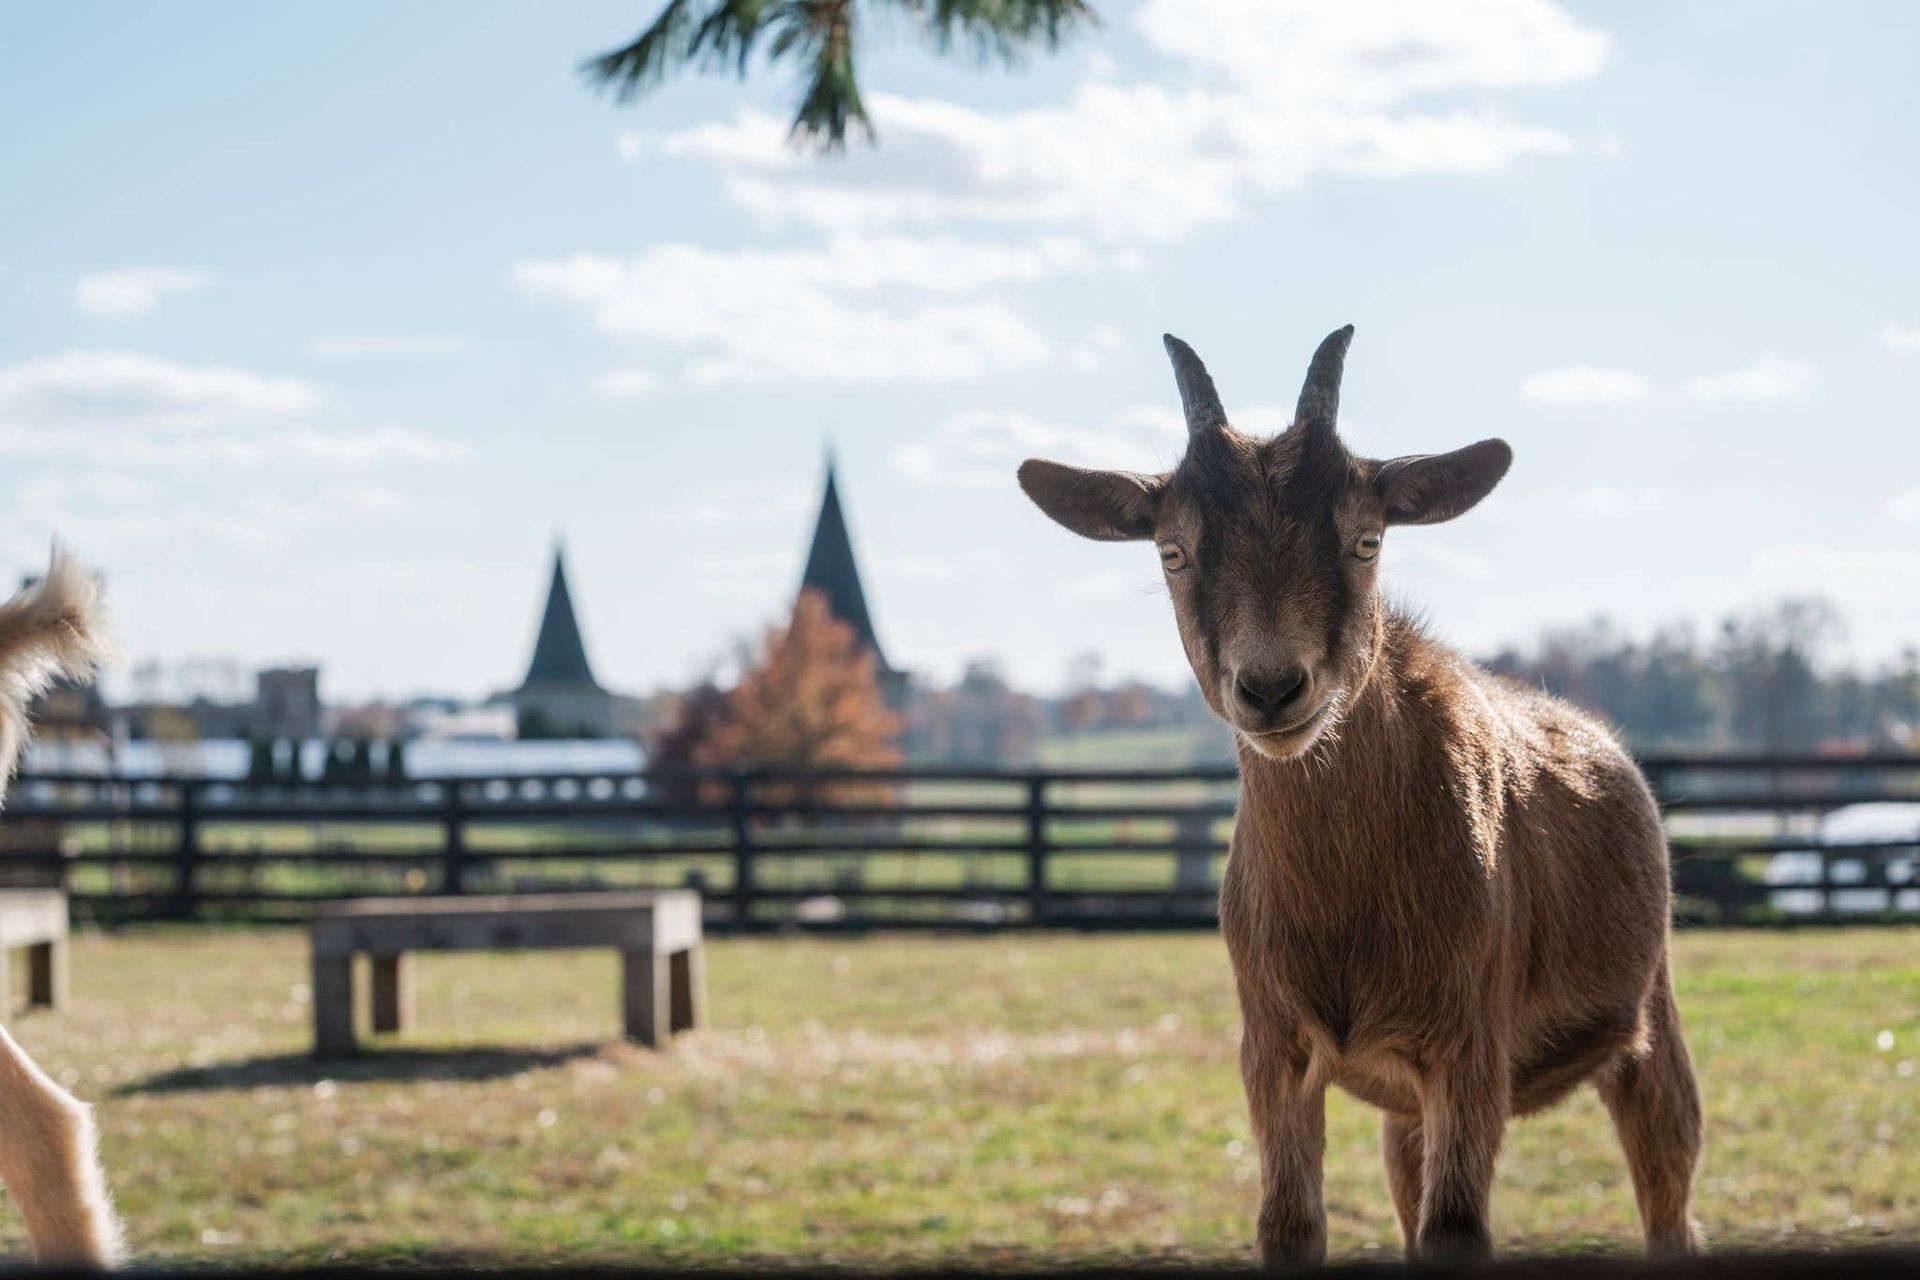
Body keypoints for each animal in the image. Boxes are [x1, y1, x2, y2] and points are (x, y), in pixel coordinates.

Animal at [1017, 327, 1701, 1264]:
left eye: (1367, 539)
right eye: (1172, 550)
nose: (1272, 687)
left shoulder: (1469, 1044)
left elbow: (1456, 1231)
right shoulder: (1272, 1045)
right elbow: (1289, 1225)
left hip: (1651, 1023)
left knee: (1671, 1195)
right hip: (1403, 1111)